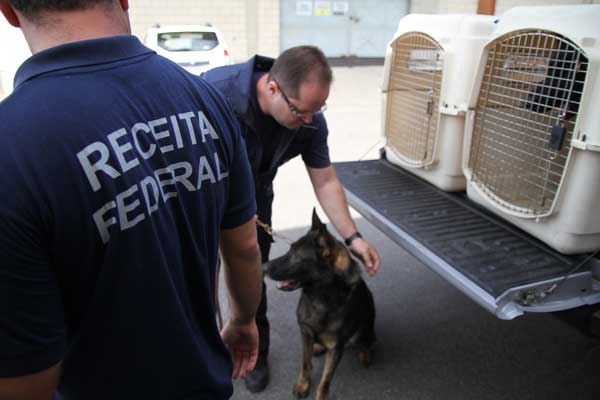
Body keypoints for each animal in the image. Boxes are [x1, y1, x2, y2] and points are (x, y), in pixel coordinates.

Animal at [264, 211, 376, 398]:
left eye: (296, 256)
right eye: (289, 249)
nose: (263, 267)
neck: (320, 297)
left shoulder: (336, 348)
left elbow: (326, 378)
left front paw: (322, 395)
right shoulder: (305, 333)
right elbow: (306, 364)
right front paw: (303, 384)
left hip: (366, 327)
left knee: (368, 341)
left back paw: (365, 354)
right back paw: (318, 346)